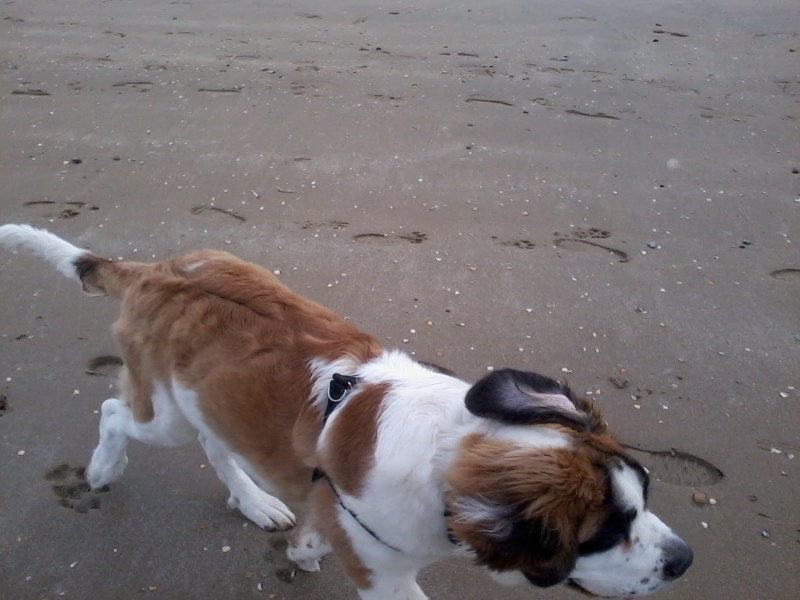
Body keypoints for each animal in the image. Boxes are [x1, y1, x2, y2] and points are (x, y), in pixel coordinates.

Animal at [0, 224, 692, 599]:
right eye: (603, 535)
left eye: (646, 497)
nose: (683, 560)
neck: (445, 452)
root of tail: (156, 271)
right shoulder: (386, 577)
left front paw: (305, 550)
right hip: (162, 414)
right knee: (114, 411)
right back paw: (102, 469)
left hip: (206, 395)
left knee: (216, 443)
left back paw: (255, 501)